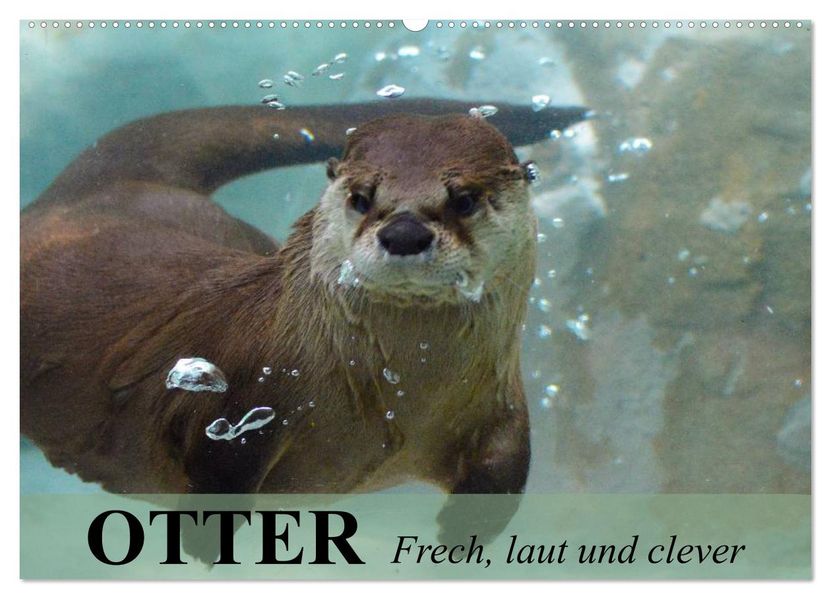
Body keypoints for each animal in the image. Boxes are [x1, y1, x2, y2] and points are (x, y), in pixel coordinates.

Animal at [21, 99, 586, 543]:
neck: (400, 399)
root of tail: (91, 192)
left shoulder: (500, 403)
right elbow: (217, 468)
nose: (403, 233)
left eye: (464, 199)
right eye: (362, 197)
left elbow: (504, 473)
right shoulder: (245, 396)